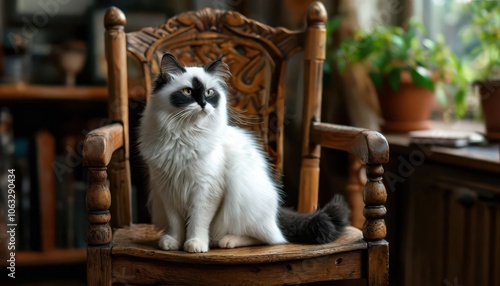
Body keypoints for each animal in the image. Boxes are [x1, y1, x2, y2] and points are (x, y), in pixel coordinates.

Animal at [137, 53, 348, 252]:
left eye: (209, 92)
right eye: (187, 92)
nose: (204, 104)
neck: (184, 135)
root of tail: (276, 213)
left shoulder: (206, 189)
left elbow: (198, 221)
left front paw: (195, 244)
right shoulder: (167, 190)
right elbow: (176, 223)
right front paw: (173, 242)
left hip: (242, 197)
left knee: (269, 238)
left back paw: (226, 241)